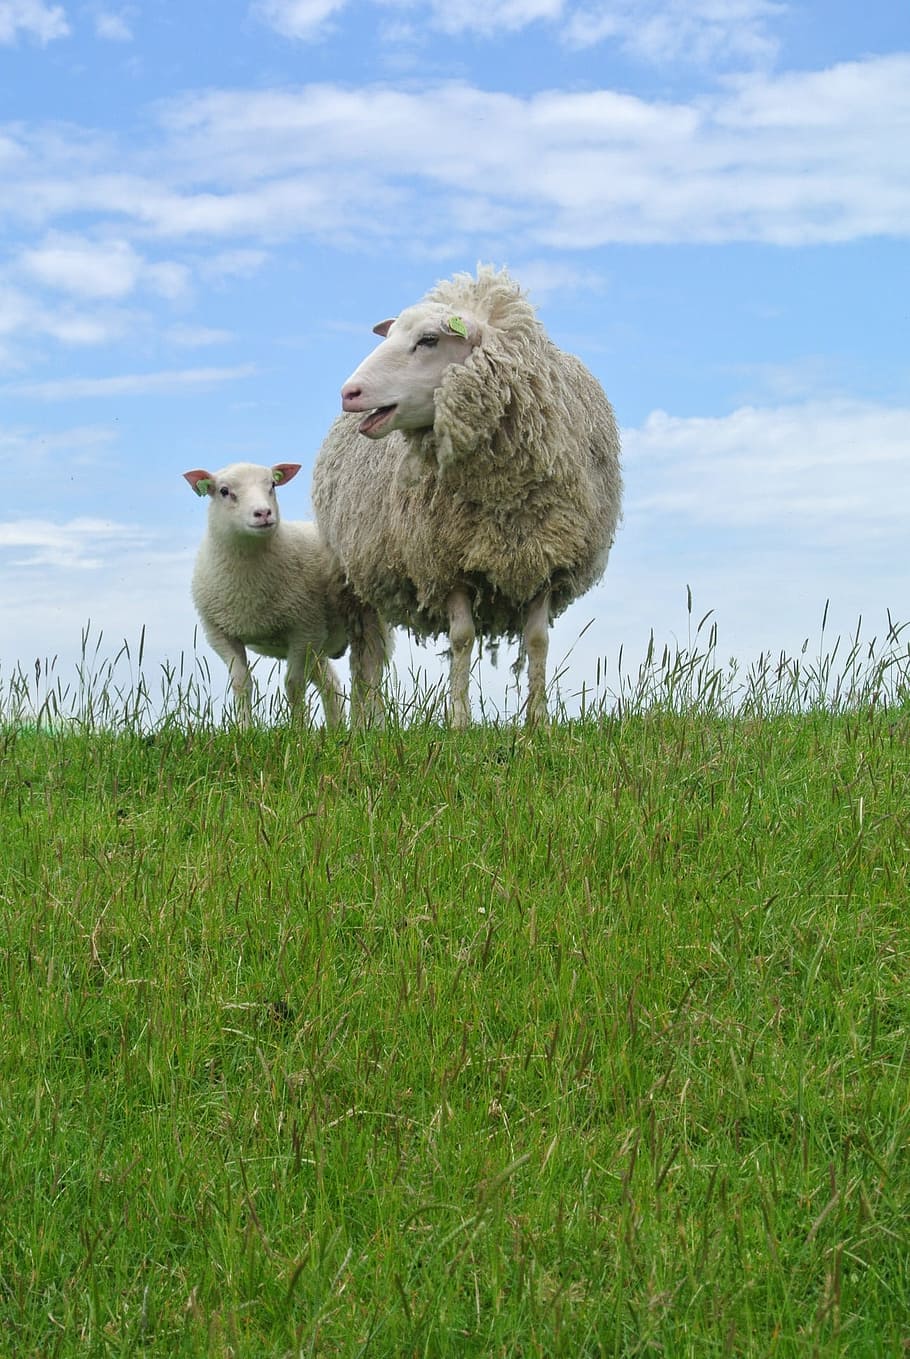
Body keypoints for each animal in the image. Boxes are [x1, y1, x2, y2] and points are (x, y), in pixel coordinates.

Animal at [184, 461, 389, 727]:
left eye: (272, 484)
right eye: (224, 491)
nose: (263, 513)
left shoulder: (304, 629)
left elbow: (293, 685)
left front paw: (298, 729)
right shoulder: (220, 634)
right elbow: (241, 683)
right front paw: (244, 729)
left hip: (365, 622)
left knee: (370, 676)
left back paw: (375, 727)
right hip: (319, 645)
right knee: (331, 684)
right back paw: (336, 729)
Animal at [311, 265, 622, 726]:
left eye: (428, 340)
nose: (349, 393)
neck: (506, 493)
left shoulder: (545, 558)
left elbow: (538, 641)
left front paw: (538, 722)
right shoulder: (445, 562)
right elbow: (461, 639)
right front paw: (458, 721)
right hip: (356, 579)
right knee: (366, 655)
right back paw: (369, 724)